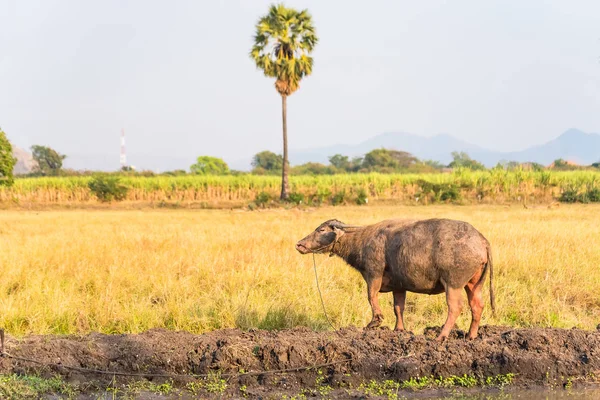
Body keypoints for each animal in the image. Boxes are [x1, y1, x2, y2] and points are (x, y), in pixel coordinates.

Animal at [296, 219, 496, 340]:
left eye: (321, 230)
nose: (299, 244)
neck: (361, 241)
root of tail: (482, 241)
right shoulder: (400, 285)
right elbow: (398, 307)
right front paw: (399, 329)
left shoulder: (373, 274)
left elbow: (371, 296)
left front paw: (374, 322)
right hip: (473, 283)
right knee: (477, 305)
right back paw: (471, 336)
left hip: (453, 283)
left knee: (455, 307)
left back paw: (441, 336)